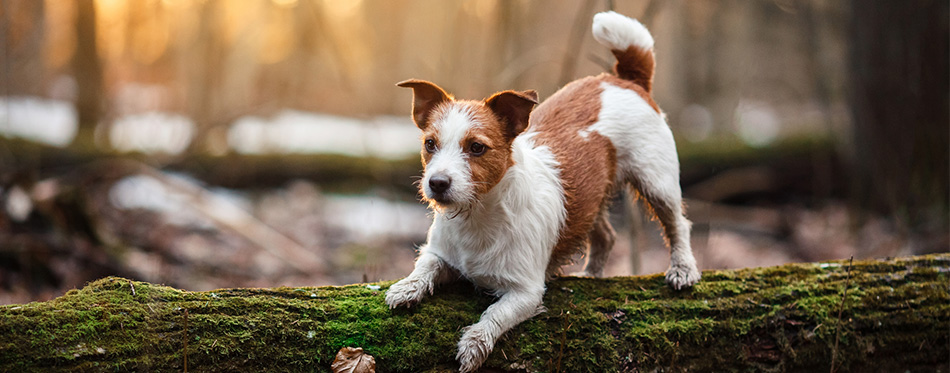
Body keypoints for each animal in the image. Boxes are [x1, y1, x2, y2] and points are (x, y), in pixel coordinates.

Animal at [384, 10, 704, 370]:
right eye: (430, 144)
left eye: (477, 148)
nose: (437, 183)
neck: (478, 216)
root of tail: (625, 80)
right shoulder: (439, 253)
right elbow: (424, 266)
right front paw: (406, 288)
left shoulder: (525, 292)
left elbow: (495, 314)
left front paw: (474, 344)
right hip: (592, 195)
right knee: (606, 236)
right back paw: (591, 275)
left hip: (656, 180)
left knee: (677, 224)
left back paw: (682, 269)